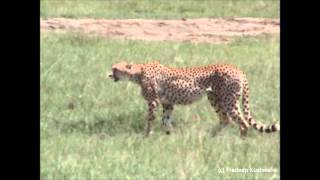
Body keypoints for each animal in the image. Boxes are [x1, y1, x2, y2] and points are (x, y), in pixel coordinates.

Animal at [106, 60, 278, 136]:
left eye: (115, 68)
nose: (109, 74)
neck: (137, 72)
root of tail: (237, 68)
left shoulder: (153, 102)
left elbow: (150, 119)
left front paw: (146, 135)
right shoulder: (168, 103)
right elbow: (165, 120)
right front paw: (169, 135)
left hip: (228, 100)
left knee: (242, 122)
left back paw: (241, 141)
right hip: (215, 98)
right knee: (225, 119)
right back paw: (212, 137)